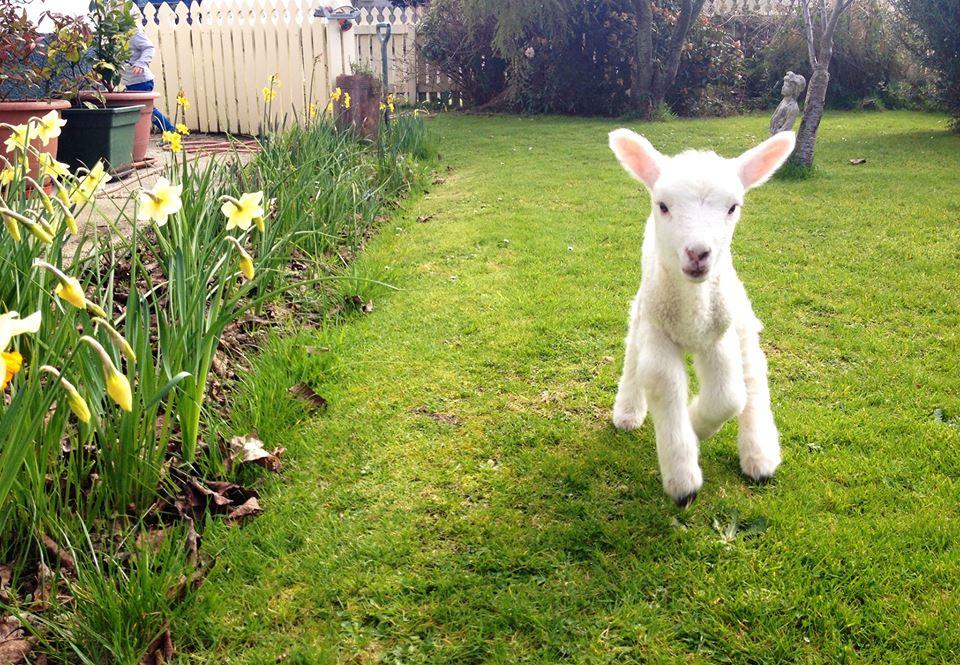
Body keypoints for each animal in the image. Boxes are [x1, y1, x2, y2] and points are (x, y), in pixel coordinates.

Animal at [608, 127, 796, 506]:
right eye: (663, 205)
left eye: (733, 207)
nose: (698, 254)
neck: (691, 316)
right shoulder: (658, 331)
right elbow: (664, 383)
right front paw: (683, 480)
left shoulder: (718, 335)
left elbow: (728, 396)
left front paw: (695, 424)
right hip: (645, 310)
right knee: (632, 351)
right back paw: (628, 412)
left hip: (736, 310)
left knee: (752, 371)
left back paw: (760, 455)